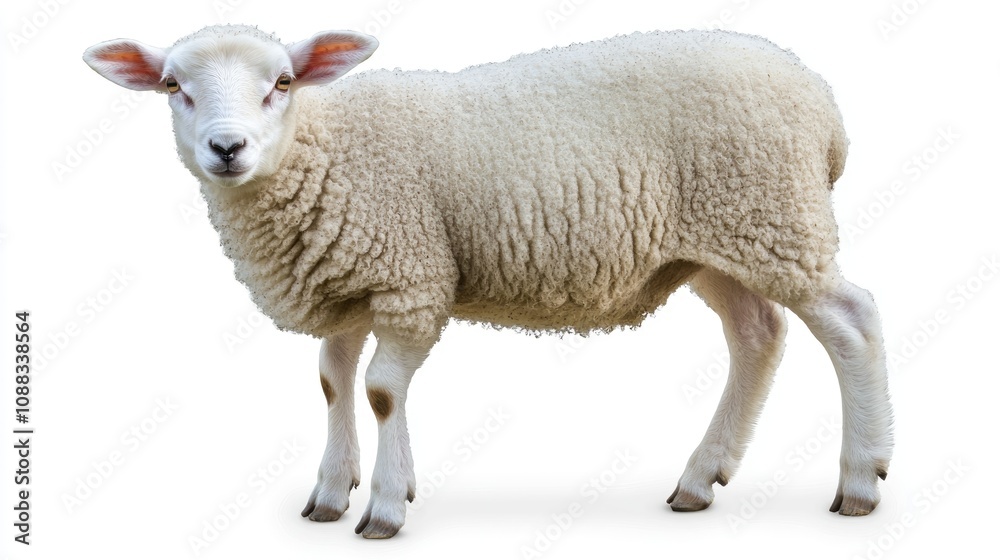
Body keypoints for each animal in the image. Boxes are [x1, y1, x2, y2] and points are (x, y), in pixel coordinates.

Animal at [83, 24, 894, 538]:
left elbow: (382, 390)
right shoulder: (346, 286)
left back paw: (860, 479)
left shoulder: (411, 278)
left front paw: (385, 508)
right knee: (758, 335)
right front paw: (333, 492)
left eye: (282, 82)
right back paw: (701, 478)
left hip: (774, 215)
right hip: (720, 243)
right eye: (172, 86)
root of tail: (823, 105)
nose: (228, 148)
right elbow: (334, 383)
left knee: (852, 322)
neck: (325, 148)